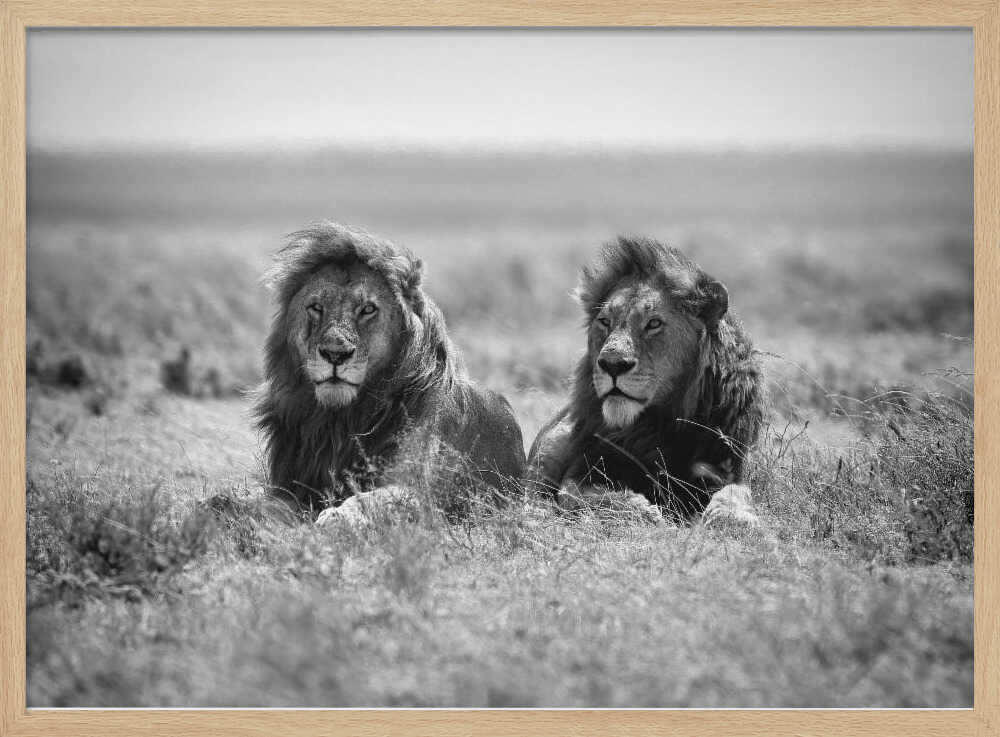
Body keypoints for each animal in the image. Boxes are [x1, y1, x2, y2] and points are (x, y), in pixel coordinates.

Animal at [252, 222, 526, 524]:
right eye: (316, 307)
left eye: (368, 309)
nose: (335, 354)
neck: (340, 420)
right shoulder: (290, 485)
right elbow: (264, 504)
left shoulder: (420, 491)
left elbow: (370, 500)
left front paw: (336, 518)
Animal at [528, 236, 764, 526]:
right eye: (604, 321)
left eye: (654, 323)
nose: (612, 364)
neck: (657, 426)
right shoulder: (584, 468)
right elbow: (579, 495)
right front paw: (646, 512)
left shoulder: (727, 464)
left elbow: (736, 493)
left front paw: (735, 518)